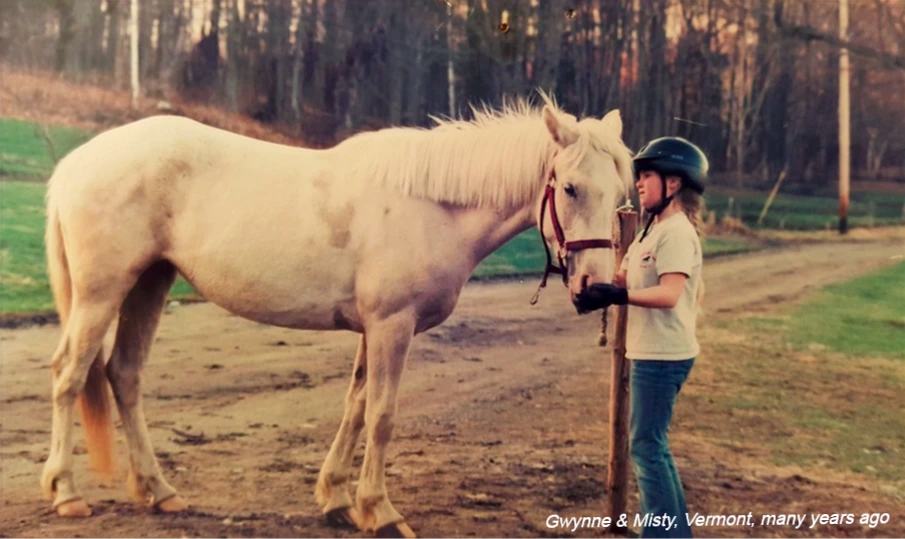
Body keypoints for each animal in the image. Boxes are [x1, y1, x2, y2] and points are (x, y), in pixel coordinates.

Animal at [40, 93, 634, 539]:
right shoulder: (393, 325)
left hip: (149, 283)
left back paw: (158, 491)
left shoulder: (373, 329)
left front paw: (337, 500)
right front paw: (381, 511)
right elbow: (382, 415)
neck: (433, 206)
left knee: (124, 375)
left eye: (620, 195)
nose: (598, 289)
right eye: (571, 188)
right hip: (101, 293)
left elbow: (355, 406)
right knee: (69, 375)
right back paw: (66, 492)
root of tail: (78, 161)